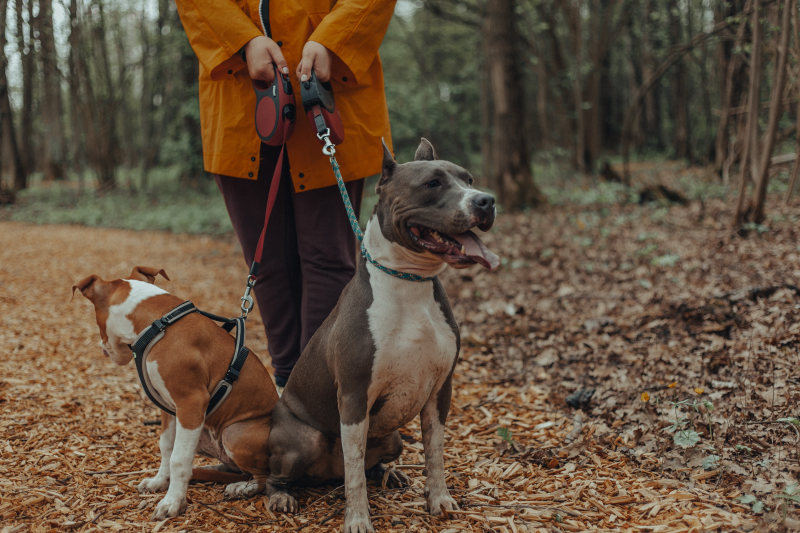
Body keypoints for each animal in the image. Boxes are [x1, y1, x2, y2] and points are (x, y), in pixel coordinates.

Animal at [72, 268, 278, 516]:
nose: (102, 347)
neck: (157, 324)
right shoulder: (170, 409)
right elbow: (167, 447)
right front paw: (160, 482)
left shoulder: (190, 404)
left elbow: (179, 459)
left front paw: (173, 502)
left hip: (234, 432)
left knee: (264, 476)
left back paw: (243, 488)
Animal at [266, 139, 496, 528]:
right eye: (433, 183)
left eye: (469, 179)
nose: (486, 201)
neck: (409, 282)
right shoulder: (354, 396)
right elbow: (354, 471)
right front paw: (358, 519)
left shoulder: (440, 391)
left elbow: (435, 452)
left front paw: (439, 499)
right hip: (305, 439)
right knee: (279, 473)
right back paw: (281, 494)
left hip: (393, 439)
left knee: (369, 463)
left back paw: (389, 473)